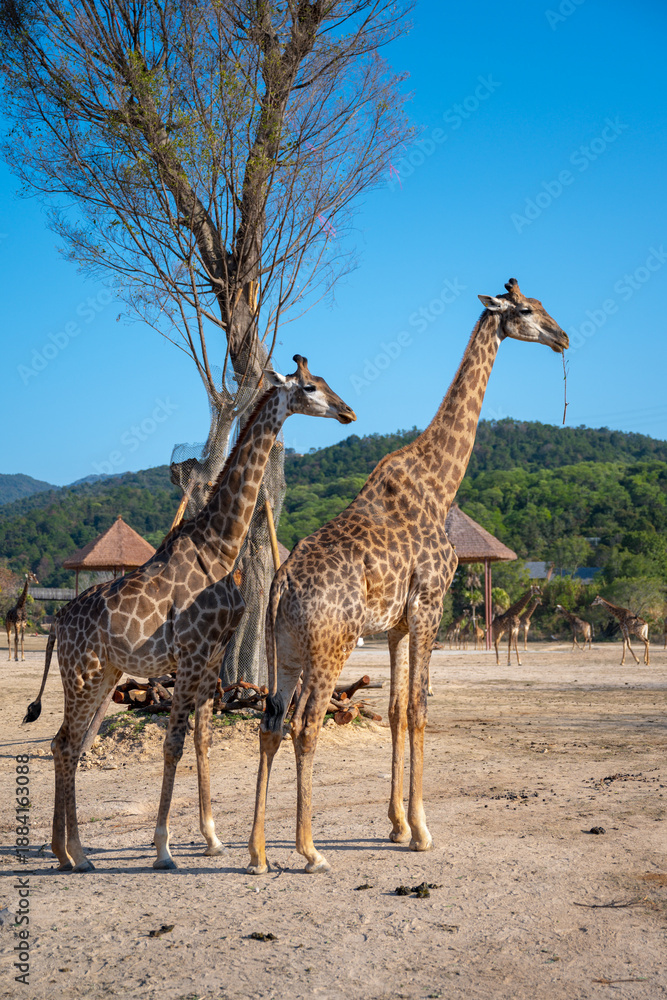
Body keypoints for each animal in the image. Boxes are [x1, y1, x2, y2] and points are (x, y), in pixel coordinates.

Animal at [23, 357, 355, 873]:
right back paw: (74, 852)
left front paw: (212, 838)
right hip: (83, 673)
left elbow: (201, 740)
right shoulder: (193, 654)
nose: (347, 412)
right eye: (309, 387)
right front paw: (163, 848)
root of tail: (56, 624)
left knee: (67, 744)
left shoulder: (212, 657)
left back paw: (68, 852)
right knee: (65, 744)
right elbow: (173, 743)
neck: (221, 546)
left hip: (103, 674)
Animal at [247, 278, 568, 874]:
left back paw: (257, 853)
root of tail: (278, 587)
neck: (441, 483)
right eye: (527, 309)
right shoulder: (429, 605)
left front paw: (396, 824)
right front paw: (421, 829)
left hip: (286, 651)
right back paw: (309, 850)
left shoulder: (395, 625)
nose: (562, 337)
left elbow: (396, 710)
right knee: (306, 724)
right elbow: (419, 707)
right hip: (331, 646)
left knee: (271, 722)